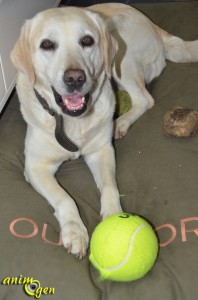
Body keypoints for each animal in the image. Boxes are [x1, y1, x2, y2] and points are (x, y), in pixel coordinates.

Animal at [11, 2, 198, 258]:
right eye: (47, 45)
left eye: (87, 40)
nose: (75, 78)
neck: (73, 122)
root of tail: (156, 28)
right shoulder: (35, 167)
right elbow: (64, 198)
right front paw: (75, 232)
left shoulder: (102, 151)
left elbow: (109, 186)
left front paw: (113, 217)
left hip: (121, 59)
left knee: (145, 99)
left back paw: (121, 123)